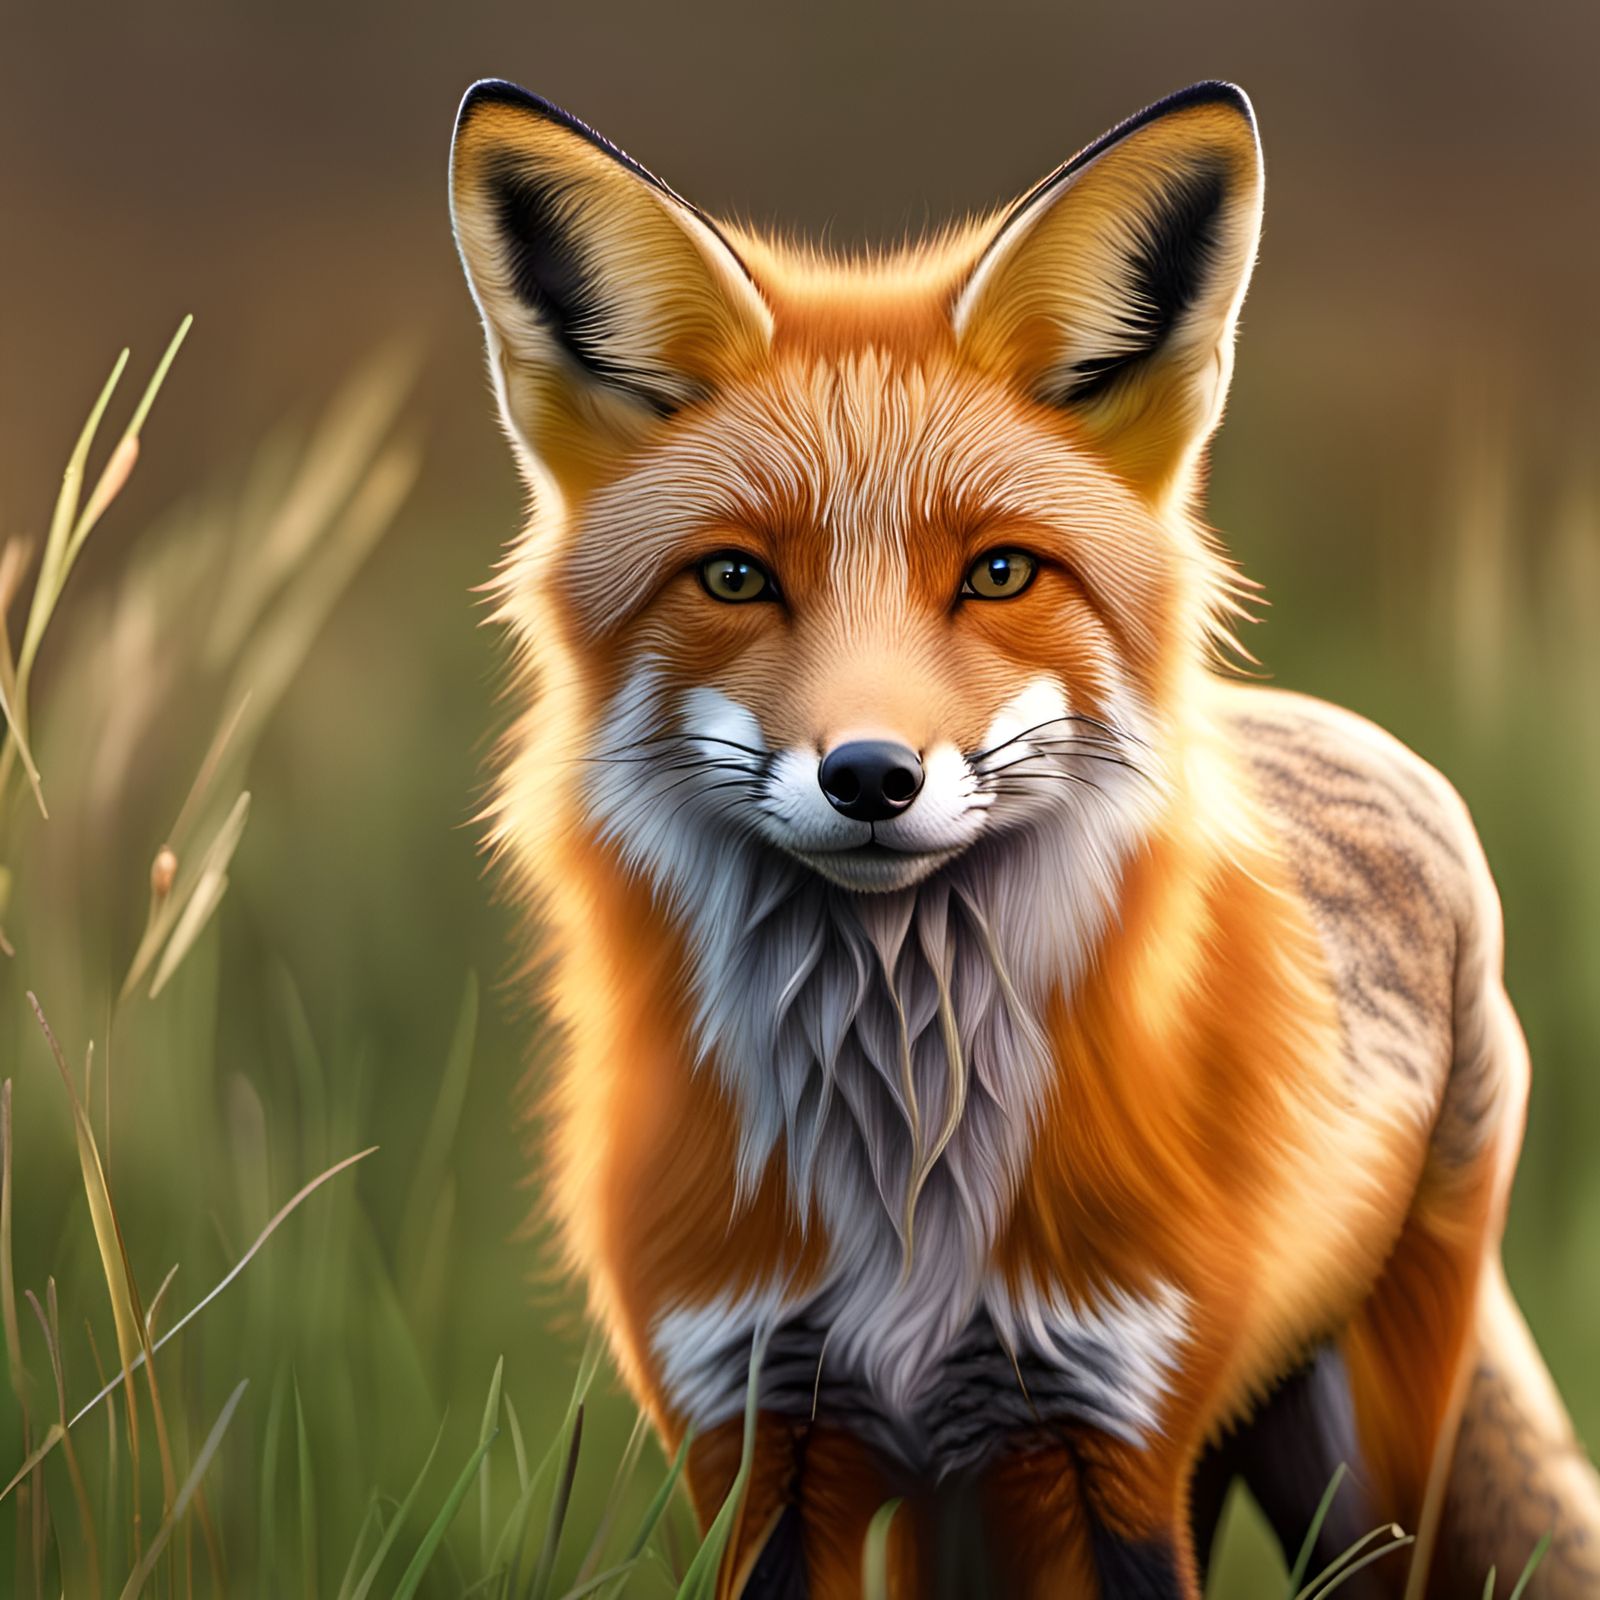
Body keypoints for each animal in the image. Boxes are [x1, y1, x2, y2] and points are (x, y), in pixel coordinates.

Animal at [448, 77, 1600, 1597]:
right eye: (737, 578)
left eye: (998, 573)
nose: (870, 776)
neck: (903, 1168)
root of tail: (1362, 742)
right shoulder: (757, 1446)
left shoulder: (1109, 1440)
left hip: (1348, 1467)